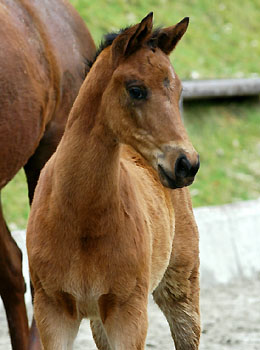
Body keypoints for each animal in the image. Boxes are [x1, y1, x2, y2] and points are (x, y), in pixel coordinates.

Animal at [26, 13, 201, 350]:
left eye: (178, 90)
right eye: (136, 90)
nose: (186, 163)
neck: (81, 217)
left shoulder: (128, 312)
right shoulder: (52, 311)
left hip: (181, 287)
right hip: (97, 319)